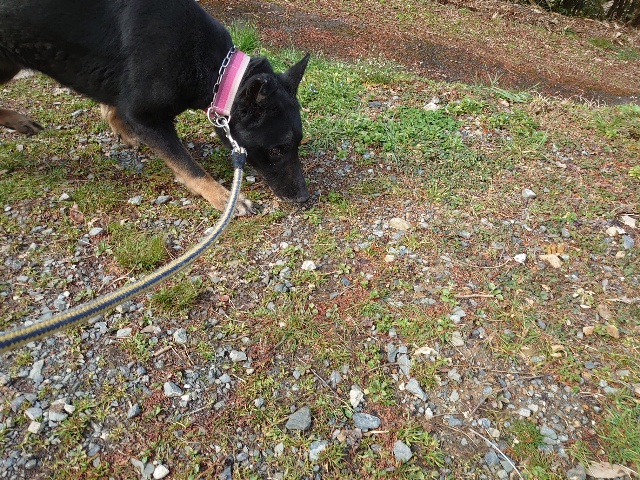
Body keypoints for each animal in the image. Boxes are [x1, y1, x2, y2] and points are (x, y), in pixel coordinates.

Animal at [0, 0, 310, 215]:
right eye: (277, 150)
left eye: (297, 144)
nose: (304, 197)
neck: (220, 74)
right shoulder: (146, 117)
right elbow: (189, 166)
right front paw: (225, 198)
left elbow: (112, 106)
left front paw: (122, 130)